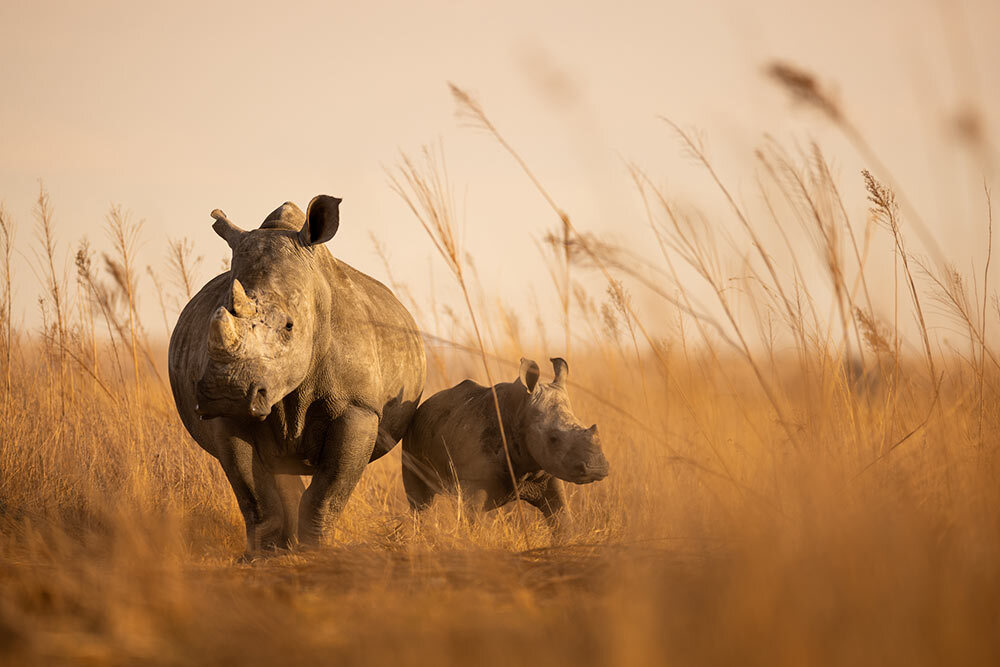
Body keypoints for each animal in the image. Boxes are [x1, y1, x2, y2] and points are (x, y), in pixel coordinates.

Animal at [169, 196, 426, 556]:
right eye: (213, 318)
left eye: (290, 326)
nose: (227, 393)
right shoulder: (228, 416)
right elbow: (254, 494)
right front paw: (261, 556)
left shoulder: (359, 408)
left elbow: (328, 492)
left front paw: (314, 550)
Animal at [400, 358, 604, 536]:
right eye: (553, 439)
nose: (597, 468)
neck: (519, 411)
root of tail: (424, 404)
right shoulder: (473, 480)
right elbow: (472, 523)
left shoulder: (547, 475)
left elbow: (561, 519)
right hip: (410, 438)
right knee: (420, 503)